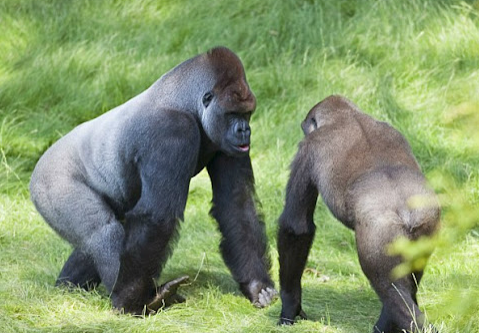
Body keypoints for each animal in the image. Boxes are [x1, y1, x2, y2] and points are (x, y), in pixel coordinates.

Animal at [29, 46, 278, 314]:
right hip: (51, 181)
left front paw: (257, 285)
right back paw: (131, 299)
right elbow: (157, 216)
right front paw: (129, 299)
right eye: (232, 114)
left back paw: (68, 286)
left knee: (95, 241)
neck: (187, 102)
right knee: (103, 232)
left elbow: (236, 204)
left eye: (247, 114)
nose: (245, 130)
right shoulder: (173, 131)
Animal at [280, 94, 440, 330]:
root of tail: (407, 213)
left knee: (387, 286)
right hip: (427, 223)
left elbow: (296, 226)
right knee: (404, 283)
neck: (346, 115)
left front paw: (290, 307)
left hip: (381, 233)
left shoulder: (307, 150)